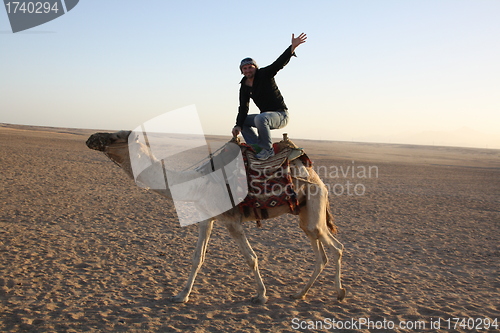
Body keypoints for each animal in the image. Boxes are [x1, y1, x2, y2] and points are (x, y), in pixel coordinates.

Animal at [86, 130, 346, 304]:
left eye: (115, 137)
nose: (90, 138)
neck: (197, 183)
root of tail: (317, 178)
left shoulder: (232, 221)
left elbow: (251, 258)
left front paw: (261, 295)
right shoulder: (206, 218)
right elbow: (197, 258)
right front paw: (181, 295)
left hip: (314, 204)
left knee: (336, 248)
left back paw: (339, 293)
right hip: (305, 214)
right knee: (320, 252)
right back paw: (300, 293)